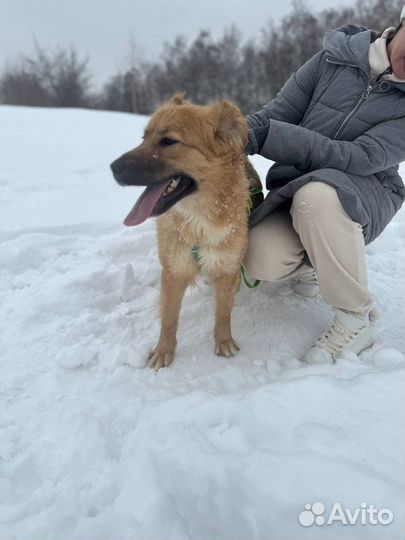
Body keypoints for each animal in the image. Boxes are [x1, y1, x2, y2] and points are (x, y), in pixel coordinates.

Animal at [110, 95, 262, 370]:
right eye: (144, 138)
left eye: (169, 141)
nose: (112, 167)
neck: (198, 224)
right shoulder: (174, 271)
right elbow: (169, 318)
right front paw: (163, 351)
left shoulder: (225, 268)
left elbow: (223, 314)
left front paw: (223, 342)